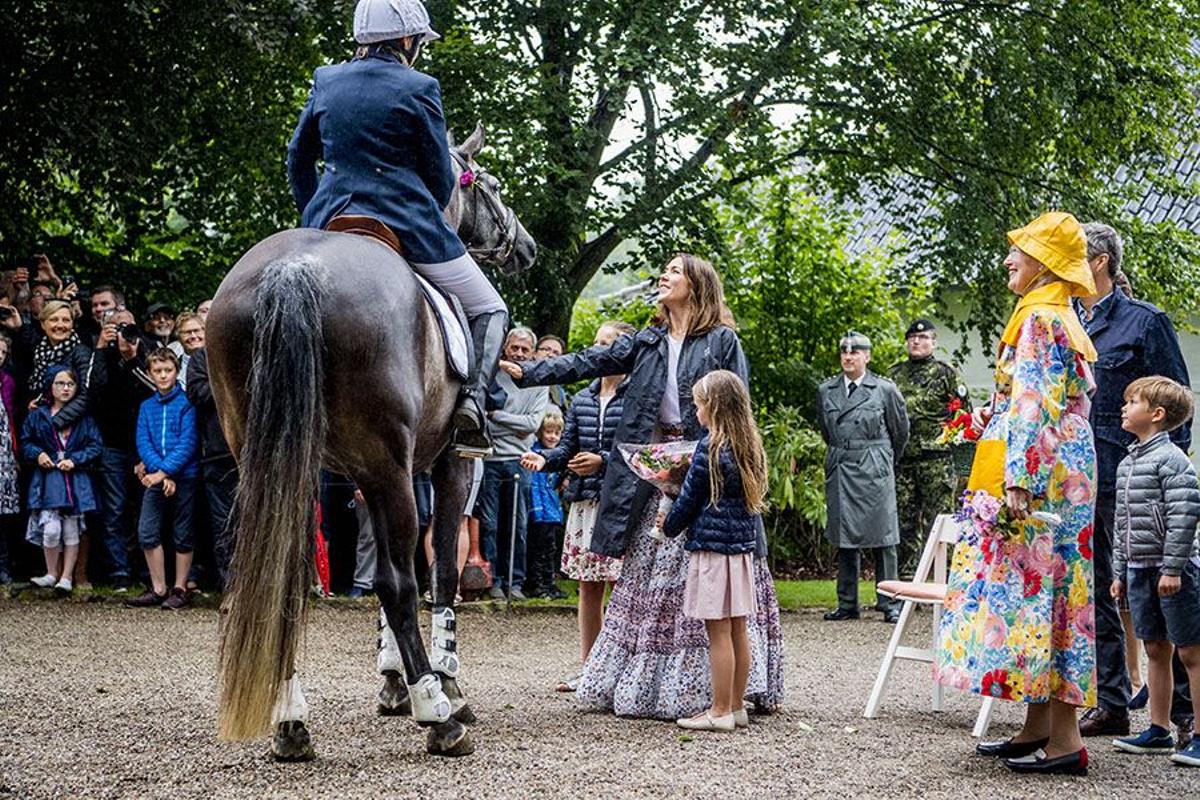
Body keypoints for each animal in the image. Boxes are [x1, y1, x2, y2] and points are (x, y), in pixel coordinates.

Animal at [208, 123, 537, 758]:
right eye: (487, 185)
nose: (526, 248)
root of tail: (296, 269)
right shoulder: (445, 466)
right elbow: (437, 570)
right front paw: (444, 684)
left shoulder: (376, 475)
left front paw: (392, 680)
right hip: (386, 463)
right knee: (398, 581)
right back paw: (440, 717)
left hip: (279, 460)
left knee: (290, 580)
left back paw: (291, 721)